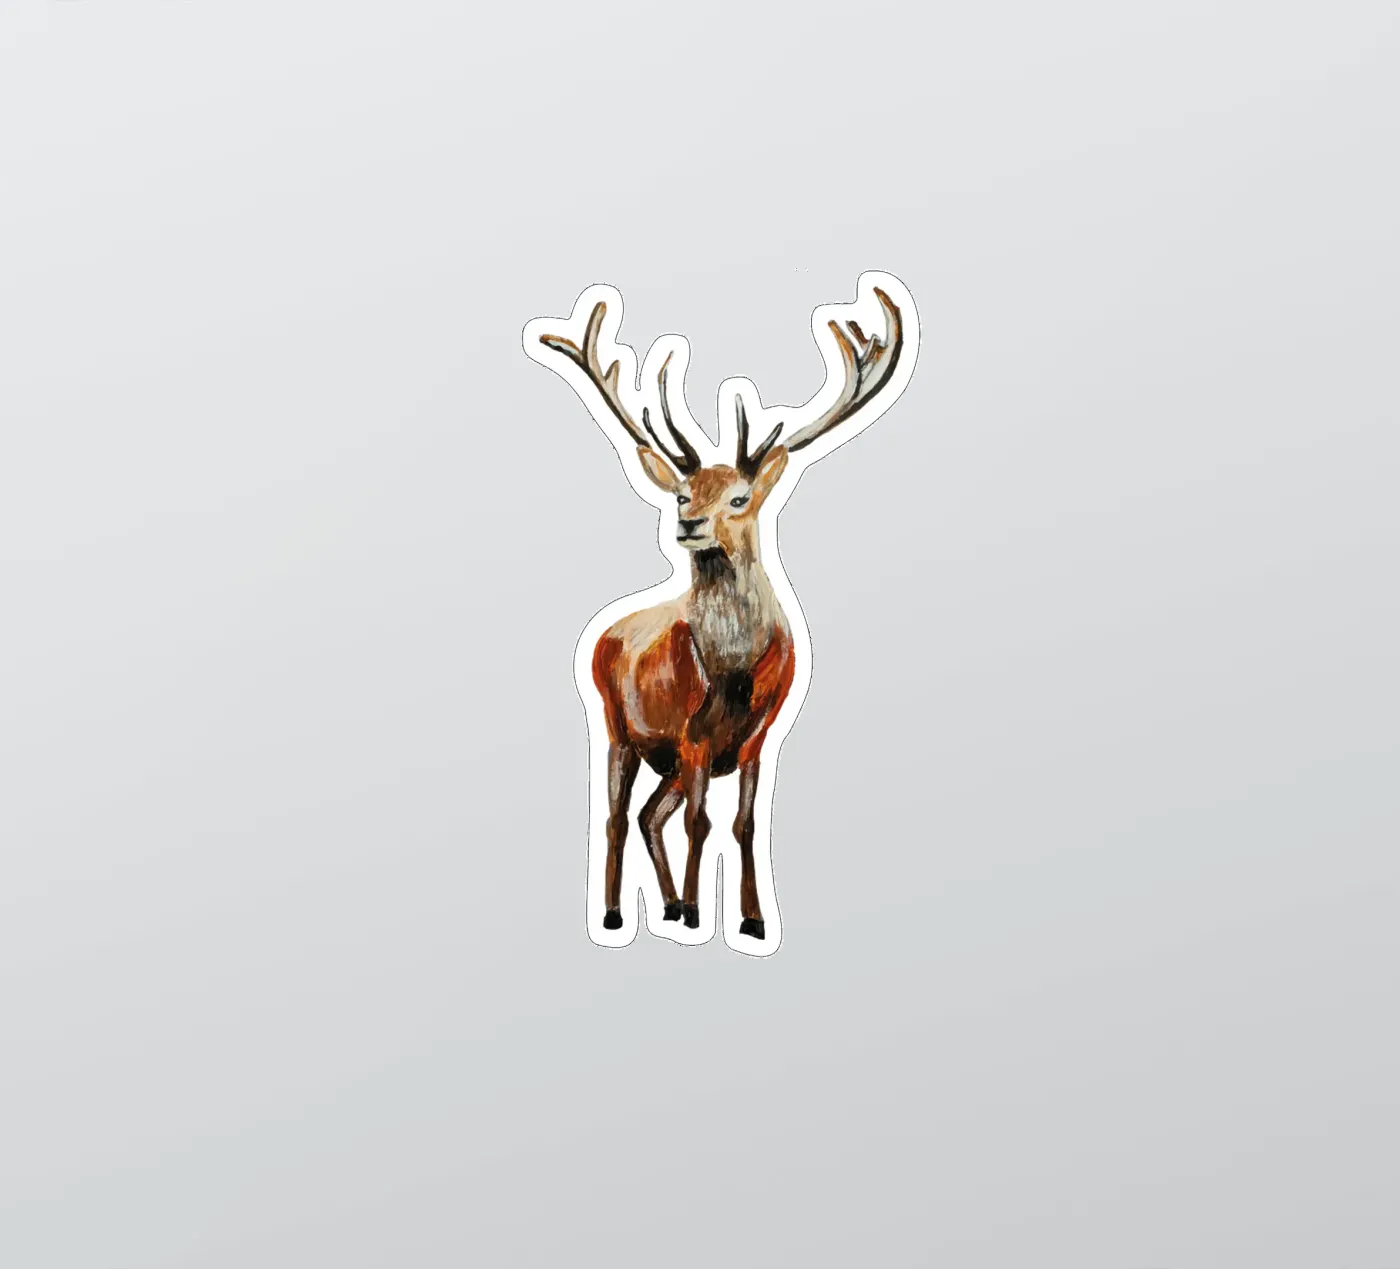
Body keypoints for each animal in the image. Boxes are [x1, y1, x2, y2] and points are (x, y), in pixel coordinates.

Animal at [524, 273, 918, 951]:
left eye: (739, 497)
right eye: (684, 493)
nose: (689, 525)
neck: (732, 670)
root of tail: (604, 632)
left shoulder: (759, 735)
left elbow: (742, 825)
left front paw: (752, 919)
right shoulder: (691, 735)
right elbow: (701, 824)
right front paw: (695, 913)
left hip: (664, 755)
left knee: (651, 814)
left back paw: (665, 903)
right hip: (617, 724)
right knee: (617, 816)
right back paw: (618, 913)